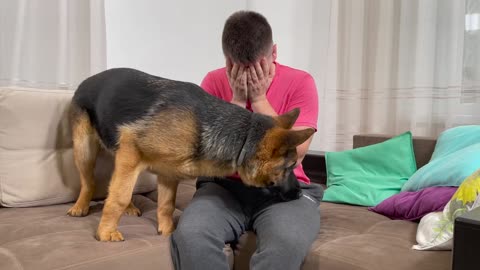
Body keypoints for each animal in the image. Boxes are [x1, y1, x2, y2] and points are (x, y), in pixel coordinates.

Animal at [67, 68, 316, 243]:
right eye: (290, 166)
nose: (299, 193)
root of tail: (87, 79)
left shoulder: (167, 174)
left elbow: (166, 205)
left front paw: (167, 231)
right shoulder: (131, 151)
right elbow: (117, 197)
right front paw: (106, 232)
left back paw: (129, 208)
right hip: (85, 150)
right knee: (89, 182)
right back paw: (81, 206)